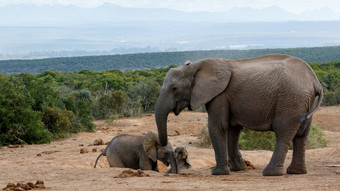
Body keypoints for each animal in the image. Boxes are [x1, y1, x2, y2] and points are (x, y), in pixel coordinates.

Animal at [155, 54, 322, 176]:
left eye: (174, 89)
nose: (171, 148)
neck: (195, 66)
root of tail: (315, 82)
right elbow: (233, 130)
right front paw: (238, 169)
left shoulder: (219, 95)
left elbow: (217, 127)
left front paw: (218, 173)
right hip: (303, 101)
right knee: (302, 136)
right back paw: (296, 172)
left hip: (290, 100)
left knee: (283, 133)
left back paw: (270, 173)